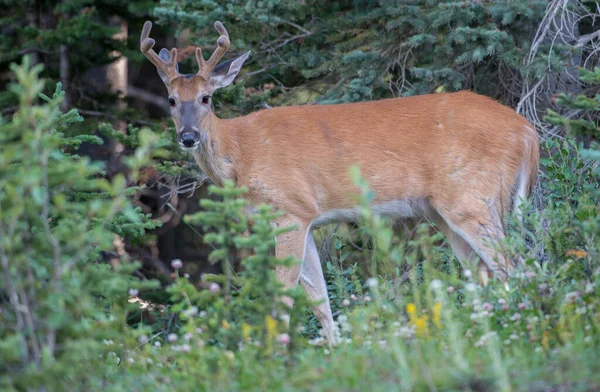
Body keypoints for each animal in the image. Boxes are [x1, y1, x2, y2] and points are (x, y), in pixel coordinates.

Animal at [139, 19, 540, 344]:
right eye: (171, 100)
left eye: (206, 98)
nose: (188, 137)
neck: (241, 154)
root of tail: (527, 132)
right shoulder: (306, 220)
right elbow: (320, 299)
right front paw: (335, 353)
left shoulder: (291, 209)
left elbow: (284, 297)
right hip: (443, 212)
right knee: (485, 274)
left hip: (472, 198)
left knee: (514, 267)